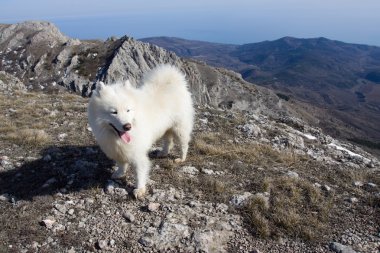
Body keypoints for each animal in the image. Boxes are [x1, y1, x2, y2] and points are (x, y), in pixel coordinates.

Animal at [88, 65, 194, 200]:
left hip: (180, 128)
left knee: (184, 144)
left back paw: (181, 158)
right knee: (168, 141)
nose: (127, 126)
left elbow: (140, 172)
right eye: (114, 112)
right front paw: (119, 173)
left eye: (128, 110)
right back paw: (163, 153)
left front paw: (139, 189)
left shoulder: (137, 153)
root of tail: (174, 81)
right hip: (166, 128)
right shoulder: (119, 149)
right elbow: (121, 163)